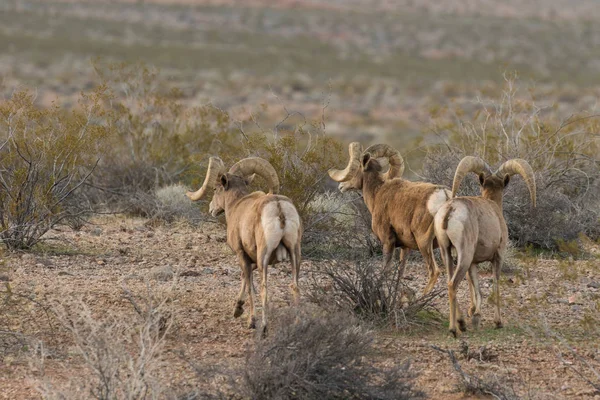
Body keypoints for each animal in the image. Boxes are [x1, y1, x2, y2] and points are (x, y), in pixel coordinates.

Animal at [186, 156, 302, 334]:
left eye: (215, 189)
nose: (212, 209)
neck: (236, 205)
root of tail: (279, 208)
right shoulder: (250, 259)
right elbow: (244, 278)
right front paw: (237, 309)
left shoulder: (242, 254)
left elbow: (249, 285)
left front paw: (250, 320)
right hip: (295, 254)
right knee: (294, 286)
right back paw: (297, 325)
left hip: (264, 257)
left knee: (264, 289)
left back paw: (263, 328)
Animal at [330, 142, 452, 292]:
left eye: (357, 167)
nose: (341, 186)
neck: (377, 193)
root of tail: (444, 196)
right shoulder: (405, 248)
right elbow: (400, 272)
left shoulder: (388, 242)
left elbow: (386, 271)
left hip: (424, 243)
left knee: (434, 272)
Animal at [434, 156, 536, 338]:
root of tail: (450, 211)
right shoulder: (498, 256)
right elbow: (495, 283)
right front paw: (498, 322)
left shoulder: (474, 263)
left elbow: (477, 288)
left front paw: (476, 317)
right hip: (464, 255)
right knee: (453, 284)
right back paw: (454, 329)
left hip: (446, 252)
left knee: (448, 281)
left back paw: (461, 323)